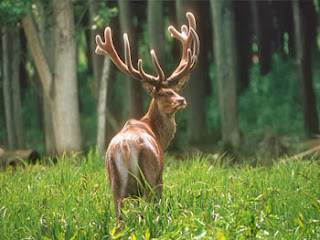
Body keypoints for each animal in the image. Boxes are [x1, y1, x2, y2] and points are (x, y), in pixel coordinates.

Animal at [95, 12, 200, 219]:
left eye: (175, 89)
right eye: (161, 93)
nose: (181, 100)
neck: (155, 132)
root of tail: (125, 147)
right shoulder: (160, 175)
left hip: (114, 183)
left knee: (119, 217)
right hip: (149, 175)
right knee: (153, 208)